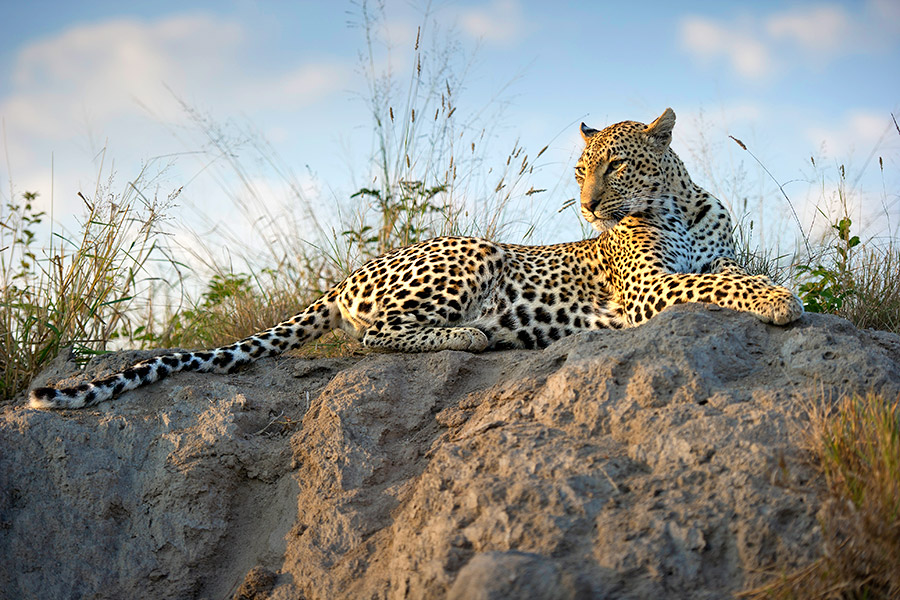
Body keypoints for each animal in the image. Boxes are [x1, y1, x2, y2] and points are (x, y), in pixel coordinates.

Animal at [28, 108, 800, 410]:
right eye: (581, 169)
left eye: (614, 165)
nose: (585, 205)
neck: (678, 207)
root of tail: (349, 272)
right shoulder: (646, 291)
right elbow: (716, 285)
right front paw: (779, 301)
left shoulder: (698, 262)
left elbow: (733, 271)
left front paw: (773, 288)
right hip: (472, 249)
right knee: (371, 334)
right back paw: (475, 333)